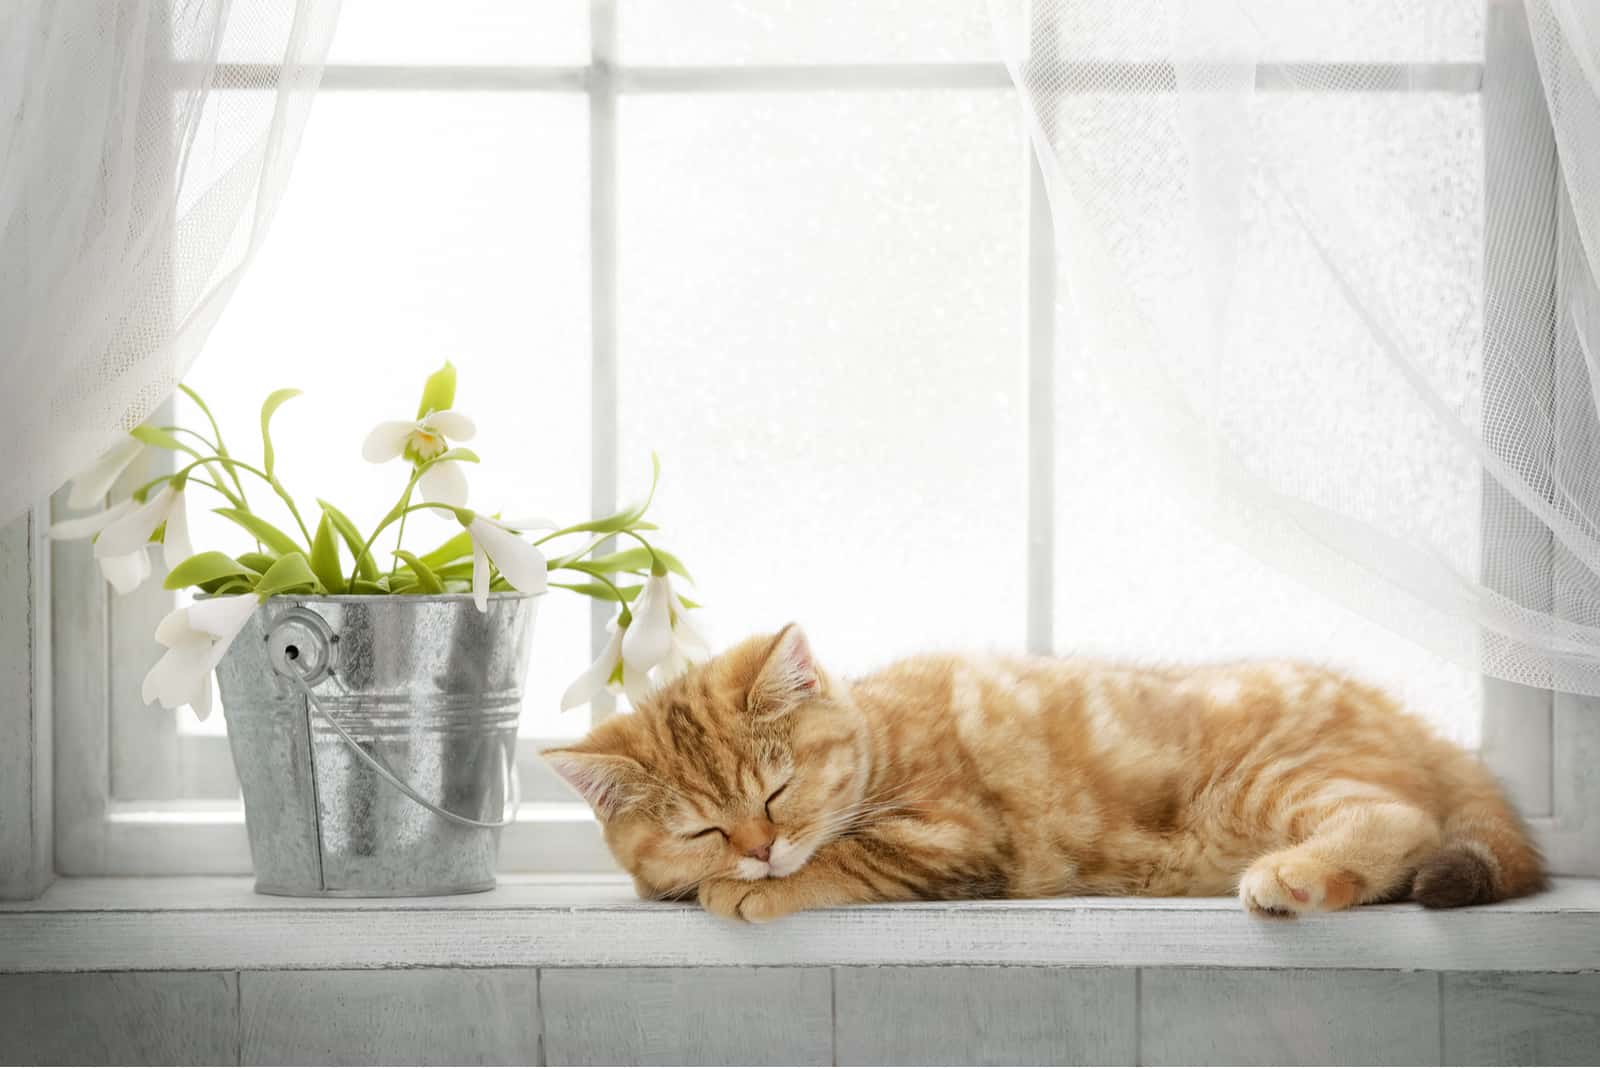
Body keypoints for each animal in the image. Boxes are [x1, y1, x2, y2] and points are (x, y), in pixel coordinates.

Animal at [544, 626, 1542, 920]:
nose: (756, 850)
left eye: (775, 793)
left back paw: (1292, 877)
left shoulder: (954, 834)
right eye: (704, 828)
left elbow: (849, 856)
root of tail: (1415, 723)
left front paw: (761, 887)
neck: (879, 736)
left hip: (1272, 779)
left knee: (1403, 821)